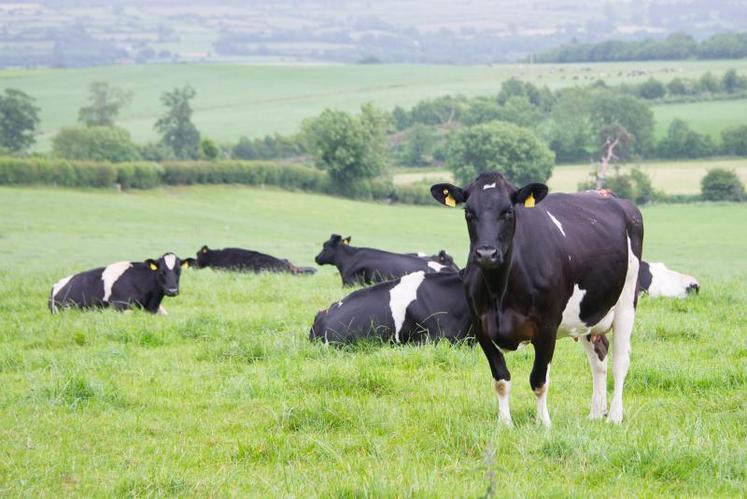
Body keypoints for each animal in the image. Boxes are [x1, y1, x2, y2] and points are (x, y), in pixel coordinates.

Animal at [432, 175, 644, 426]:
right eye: (468, 212)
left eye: (508, 212)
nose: (486, 254)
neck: (499, 292)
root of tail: (611, 196)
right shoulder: (481, 327)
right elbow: (501, 379)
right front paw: (504, 424)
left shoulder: (547, 326)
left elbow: (539, 380)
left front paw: (543, 423)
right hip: (587, 313)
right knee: (599, 356)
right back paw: (595, 413)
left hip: (626, 302)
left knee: (620, 362)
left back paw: (614, 416)